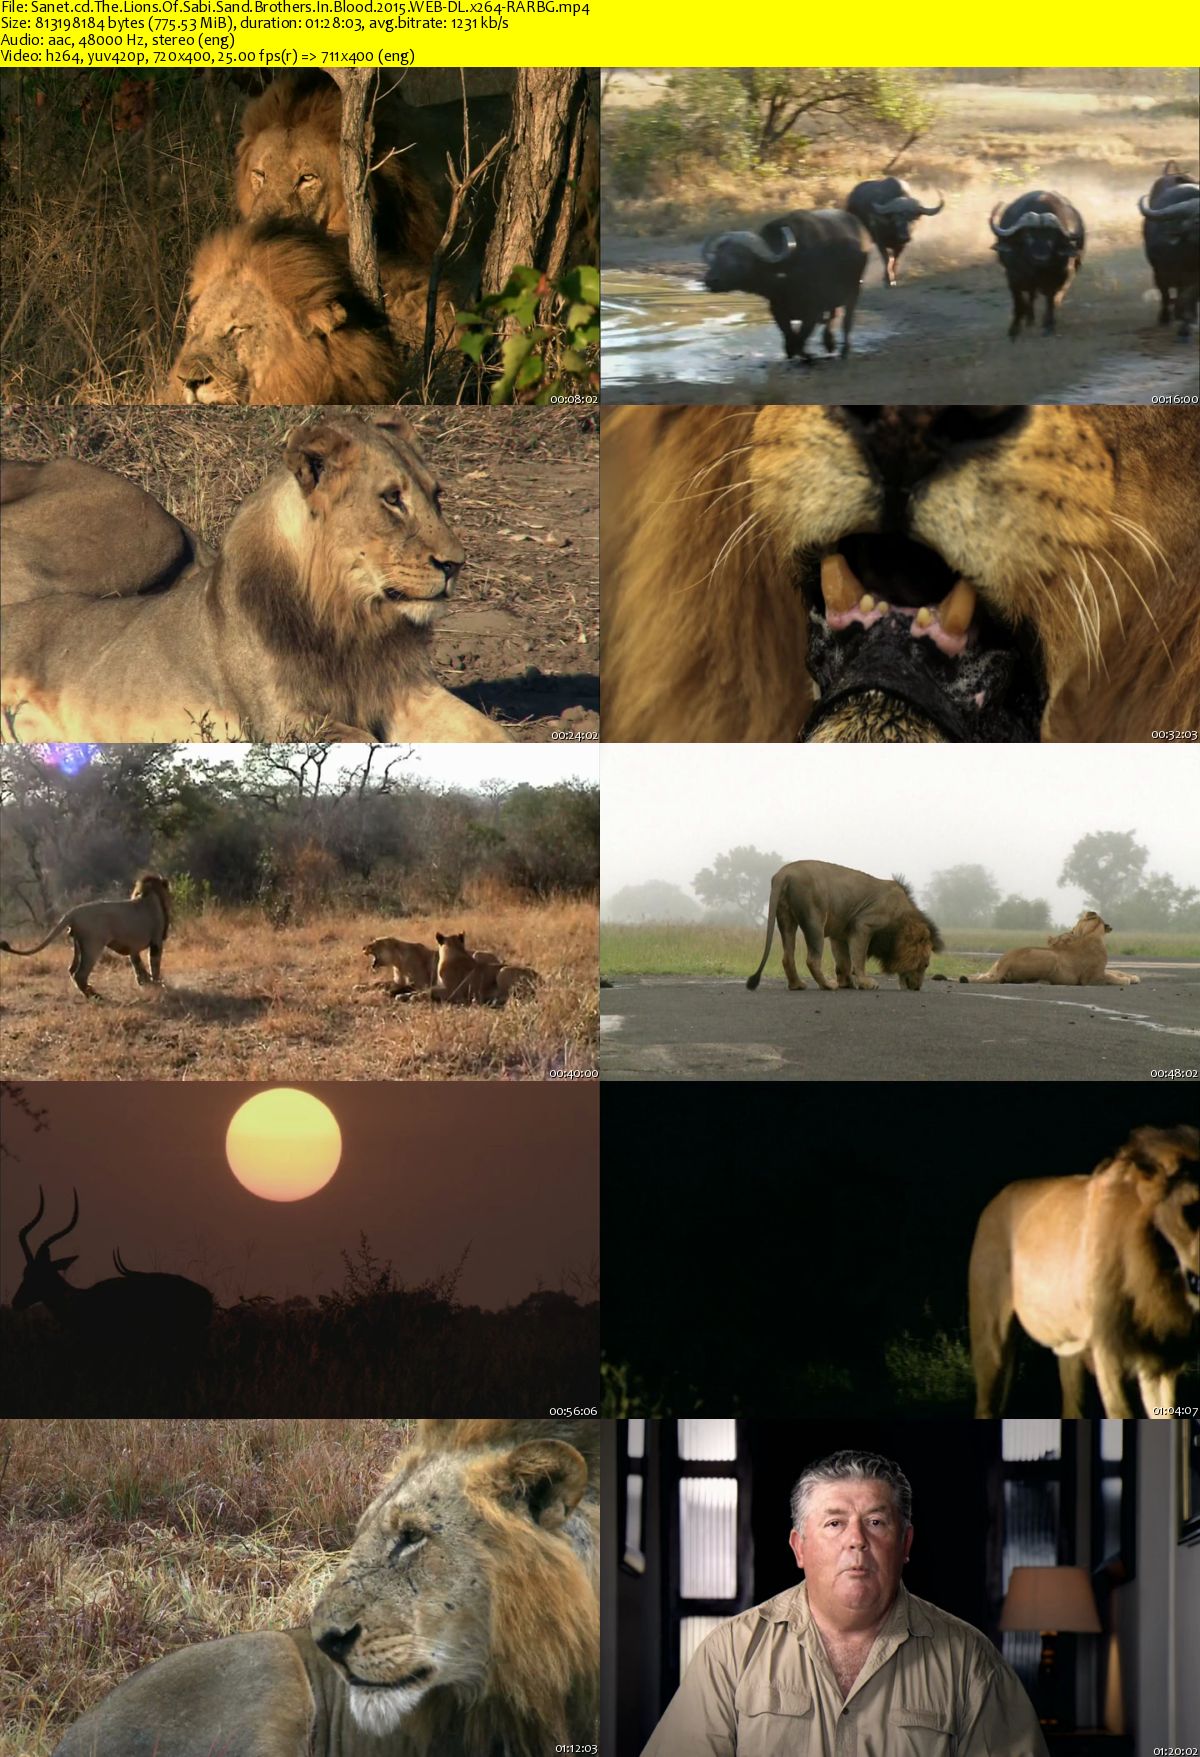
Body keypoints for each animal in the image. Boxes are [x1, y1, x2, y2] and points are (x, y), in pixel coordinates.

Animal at [0, 874, 171, 998]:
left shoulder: (132, 947)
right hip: (93, 945)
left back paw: (90, 992)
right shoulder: (156, 941)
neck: (149, 894)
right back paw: (94, 995)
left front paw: (146, 983)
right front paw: (158, 985)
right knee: (79, 974)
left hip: (78, 944)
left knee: (71, 969)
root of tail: (72, 912)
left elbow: (138, 966)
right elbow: (154, 965)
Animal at [1, 414, 513, 744]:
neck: (347, 618)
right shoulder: (282, 720)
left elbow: (494, 737)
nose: (456, 564)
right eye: (391, 498)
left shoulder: (405, 693)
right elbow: (367, 742)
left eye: (436, 495)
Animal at [746, 858, 943, 992]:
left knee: (787, 957)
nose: (917, 988)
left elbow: (843, 962)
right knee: (812, 959)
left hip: (786, 918)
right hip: (815, 920)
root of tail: (784, 873)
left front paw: (847, 983)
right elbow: (858, 958)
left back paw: (797, 985)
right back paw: (827, 985)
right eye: (925, 965)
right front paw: (866, 983)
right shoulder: (863, 925)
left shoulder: (839, 934)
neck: (901, 920)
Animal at [963, 909, 1142, 986]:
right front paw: (1127, 979)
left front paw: (1132, 976)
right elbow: (1113, 977)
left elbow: (1115, 972)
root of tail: (1004, 962)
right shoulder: (1092, 978)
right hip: (1050, 956)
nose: (1071, 930)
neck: (1092, 935)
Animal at [969, 1124, 1200, 1418]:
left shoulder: (1161, 1355)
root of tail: (995, 1199)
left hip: (1070, 1351)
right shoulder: (1109, 1351)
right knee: (987, 1402)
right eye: (1191, 1211)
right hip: (991, 1339)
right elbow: (1122, 1414)